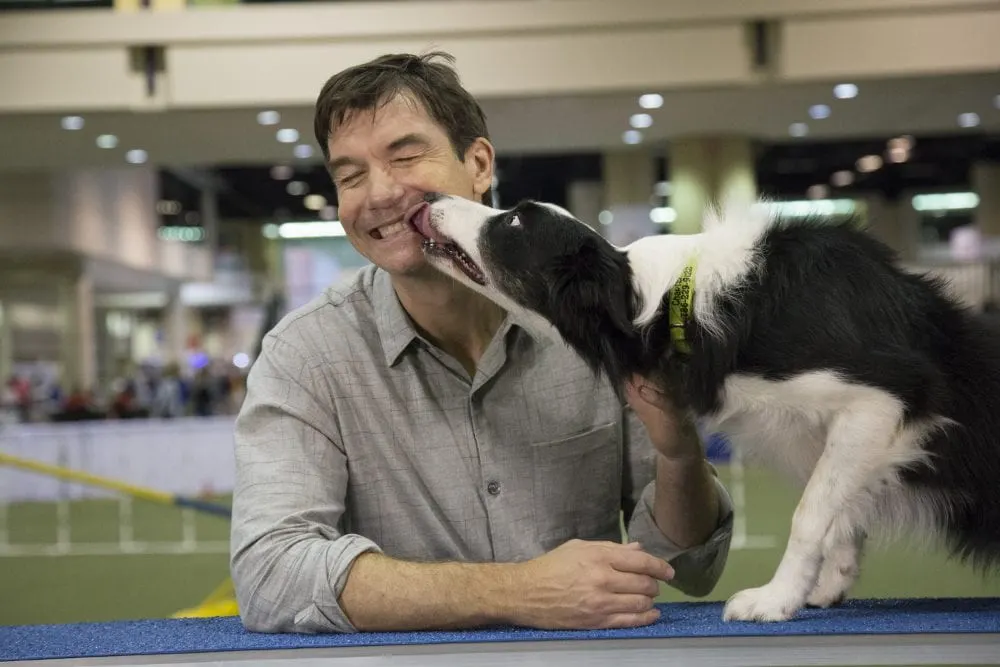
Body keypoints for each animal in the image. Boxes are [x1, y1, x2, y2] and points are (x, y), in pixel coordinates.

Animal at [408, 192, 1000, 620]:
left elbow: (811, 514)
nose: (430, 198)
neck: (674, 302)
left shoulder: (884, 398)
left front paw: (776, 600)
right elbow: (841, 514)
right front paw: (828, 583)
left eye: (512, 222)